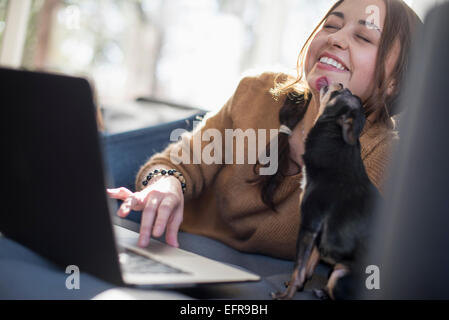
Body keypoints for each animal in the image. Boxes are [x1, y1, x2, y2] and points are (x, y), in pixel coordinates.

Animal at [272, 83, 380, 300]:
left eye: (340, 93)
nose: (340, 83)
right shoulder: (318, 235)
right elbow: (308, 265)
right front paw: (298, 286)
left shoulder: (309, 225)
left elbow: (298, 266)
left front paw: (287, 294)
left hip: (340, 274)